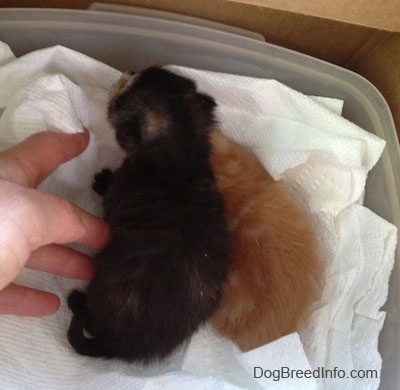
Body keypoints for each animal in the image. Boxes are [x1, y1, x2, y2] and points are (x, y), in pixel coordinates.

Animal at [67, 66, 230, 362]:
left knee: (92, 323)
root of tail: (123, 346)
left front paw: (102, 180)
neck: (181, 150)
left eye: (124, 89)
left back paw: (77, 302)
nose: (127, 70)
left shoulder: (120, 187)